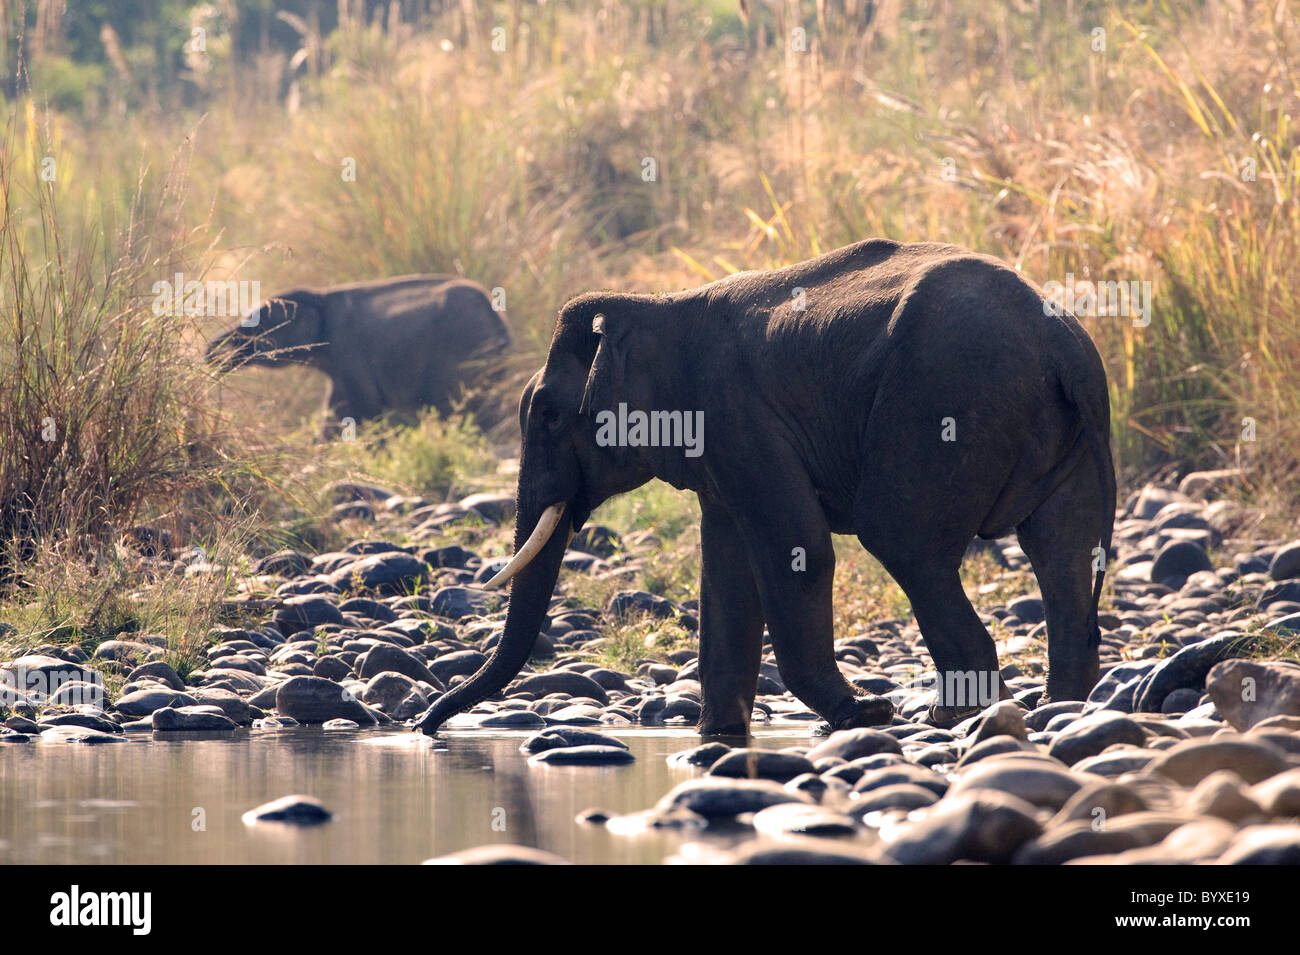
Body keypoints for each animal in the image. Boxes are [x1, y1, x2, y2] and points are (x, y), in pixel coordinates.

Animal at [206, 275, 509, 435]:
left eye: (258, 325)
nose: (209, 354)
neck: (320, 296)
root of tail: (500, 322)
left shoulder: (348, 349)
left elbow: (363, 405)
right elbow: (335, 406)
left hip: (460, 351)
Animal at [416, 238, 1116, 738]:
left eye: (551, 417)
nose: (426, 726)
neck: (657, 304)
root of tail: (1061, 342)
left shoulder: (738, 413)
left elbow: (794, 548)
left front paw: (864, 716)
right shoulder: (723, 447)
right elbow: (726, 571)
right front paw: (719, 738)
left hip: (943, 407)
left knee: (903, 540)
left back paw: (948, 719)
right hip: (1070, 435)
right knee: (1064, 550)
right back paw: (1055, 709)